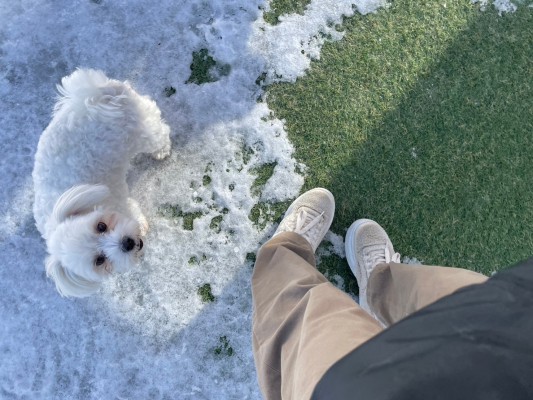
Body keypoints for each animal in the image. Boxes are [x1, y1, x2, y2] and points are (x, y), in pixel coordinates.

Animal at [32, 68, 170, 296]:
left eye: (101, 226)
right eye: (99, 260)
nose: (127, 243)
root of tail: (93, 96)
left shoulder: (121, 203)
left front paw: (141, 224)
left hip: (142, 130)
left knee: (159, 134)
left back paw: (161, 151)